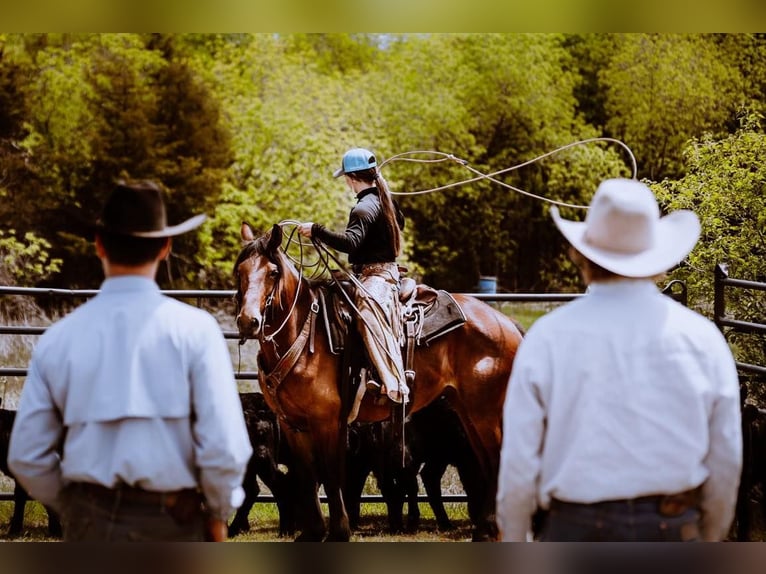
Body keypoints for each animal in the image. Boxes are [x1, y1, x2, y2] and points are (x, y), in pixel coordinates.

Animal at [232, 223, 520, 544]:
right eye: (240, 271)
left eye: (272, 272)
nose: (248, 321)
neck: (304, 333)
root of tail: (505, 323)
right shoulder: (293, 424)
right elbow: (307, 477)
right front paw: (312, 533)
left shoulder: (326, 421)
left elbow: (332, 476)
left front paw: (339, 533)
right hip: (467, 412)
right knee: (486, 462)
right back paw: (484, 529)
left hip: (485, 413)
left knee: (497, 459)